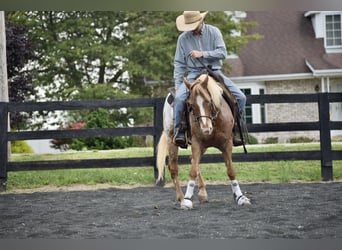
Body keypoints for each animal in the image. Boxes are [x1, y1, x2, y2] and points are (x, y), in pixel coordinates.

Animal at [156, 73, 250, 209]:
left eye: (209, 101)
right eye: (190, 105)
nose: (206, 129)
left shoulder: (227, 144)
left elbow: (231, 170)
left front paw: (240, 197)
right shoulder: (196, 143)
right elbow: (193, 171)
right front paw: (187, 200)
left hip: (203, 147)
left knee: (192, 160)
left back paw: (202, 193)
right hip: (171, 140)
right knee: (173, 168)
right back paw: (181, 197)